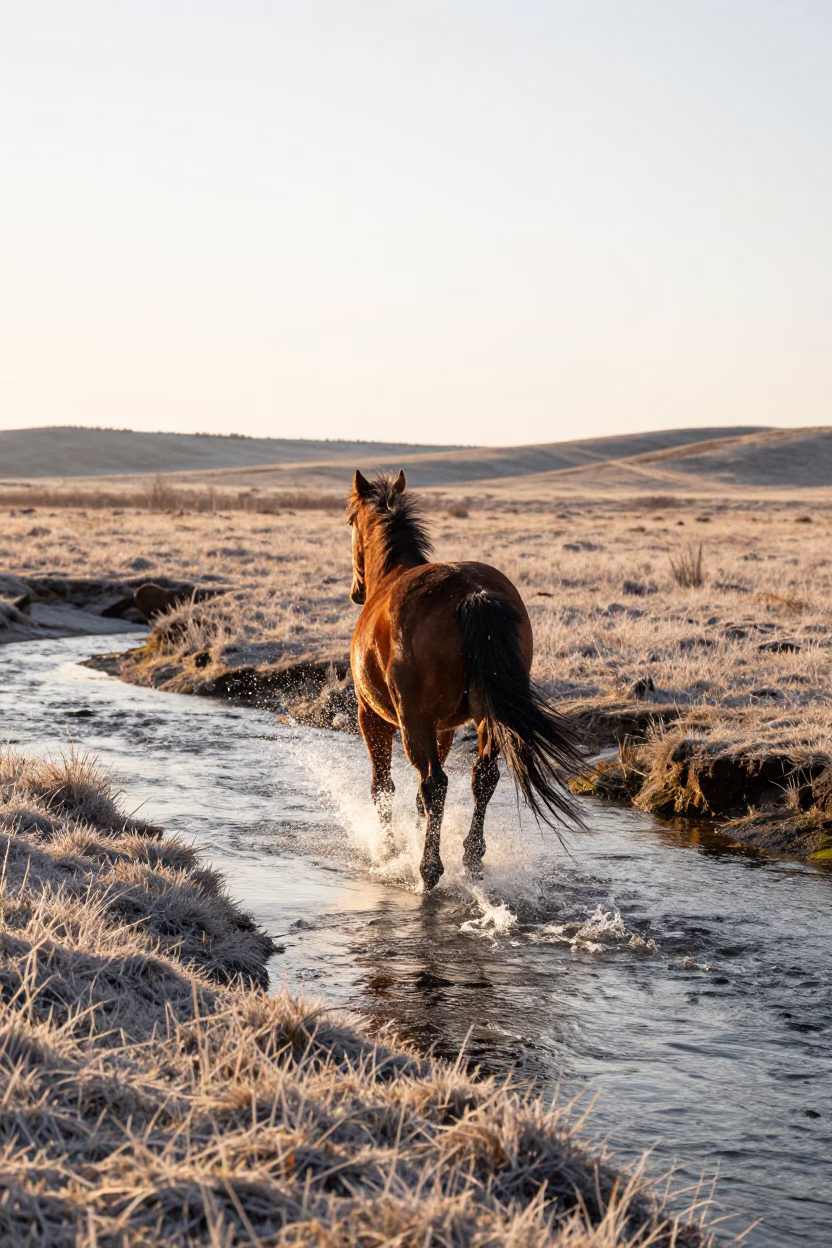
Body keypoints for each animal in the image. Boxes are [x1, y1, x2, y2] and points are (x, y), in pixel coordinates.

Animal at [347, 469, 586, 891]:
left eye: (349, 521)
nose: (356, 591)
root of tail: (472, 593)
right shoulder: (444, 728)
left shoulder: (373, 718)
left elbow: (384, 788)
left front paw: (390, 852)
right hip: (487, 717)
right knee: (483, 777)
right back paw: (472, 859)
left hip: (413, 721)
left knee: (434, 784)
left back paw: (429, 870)